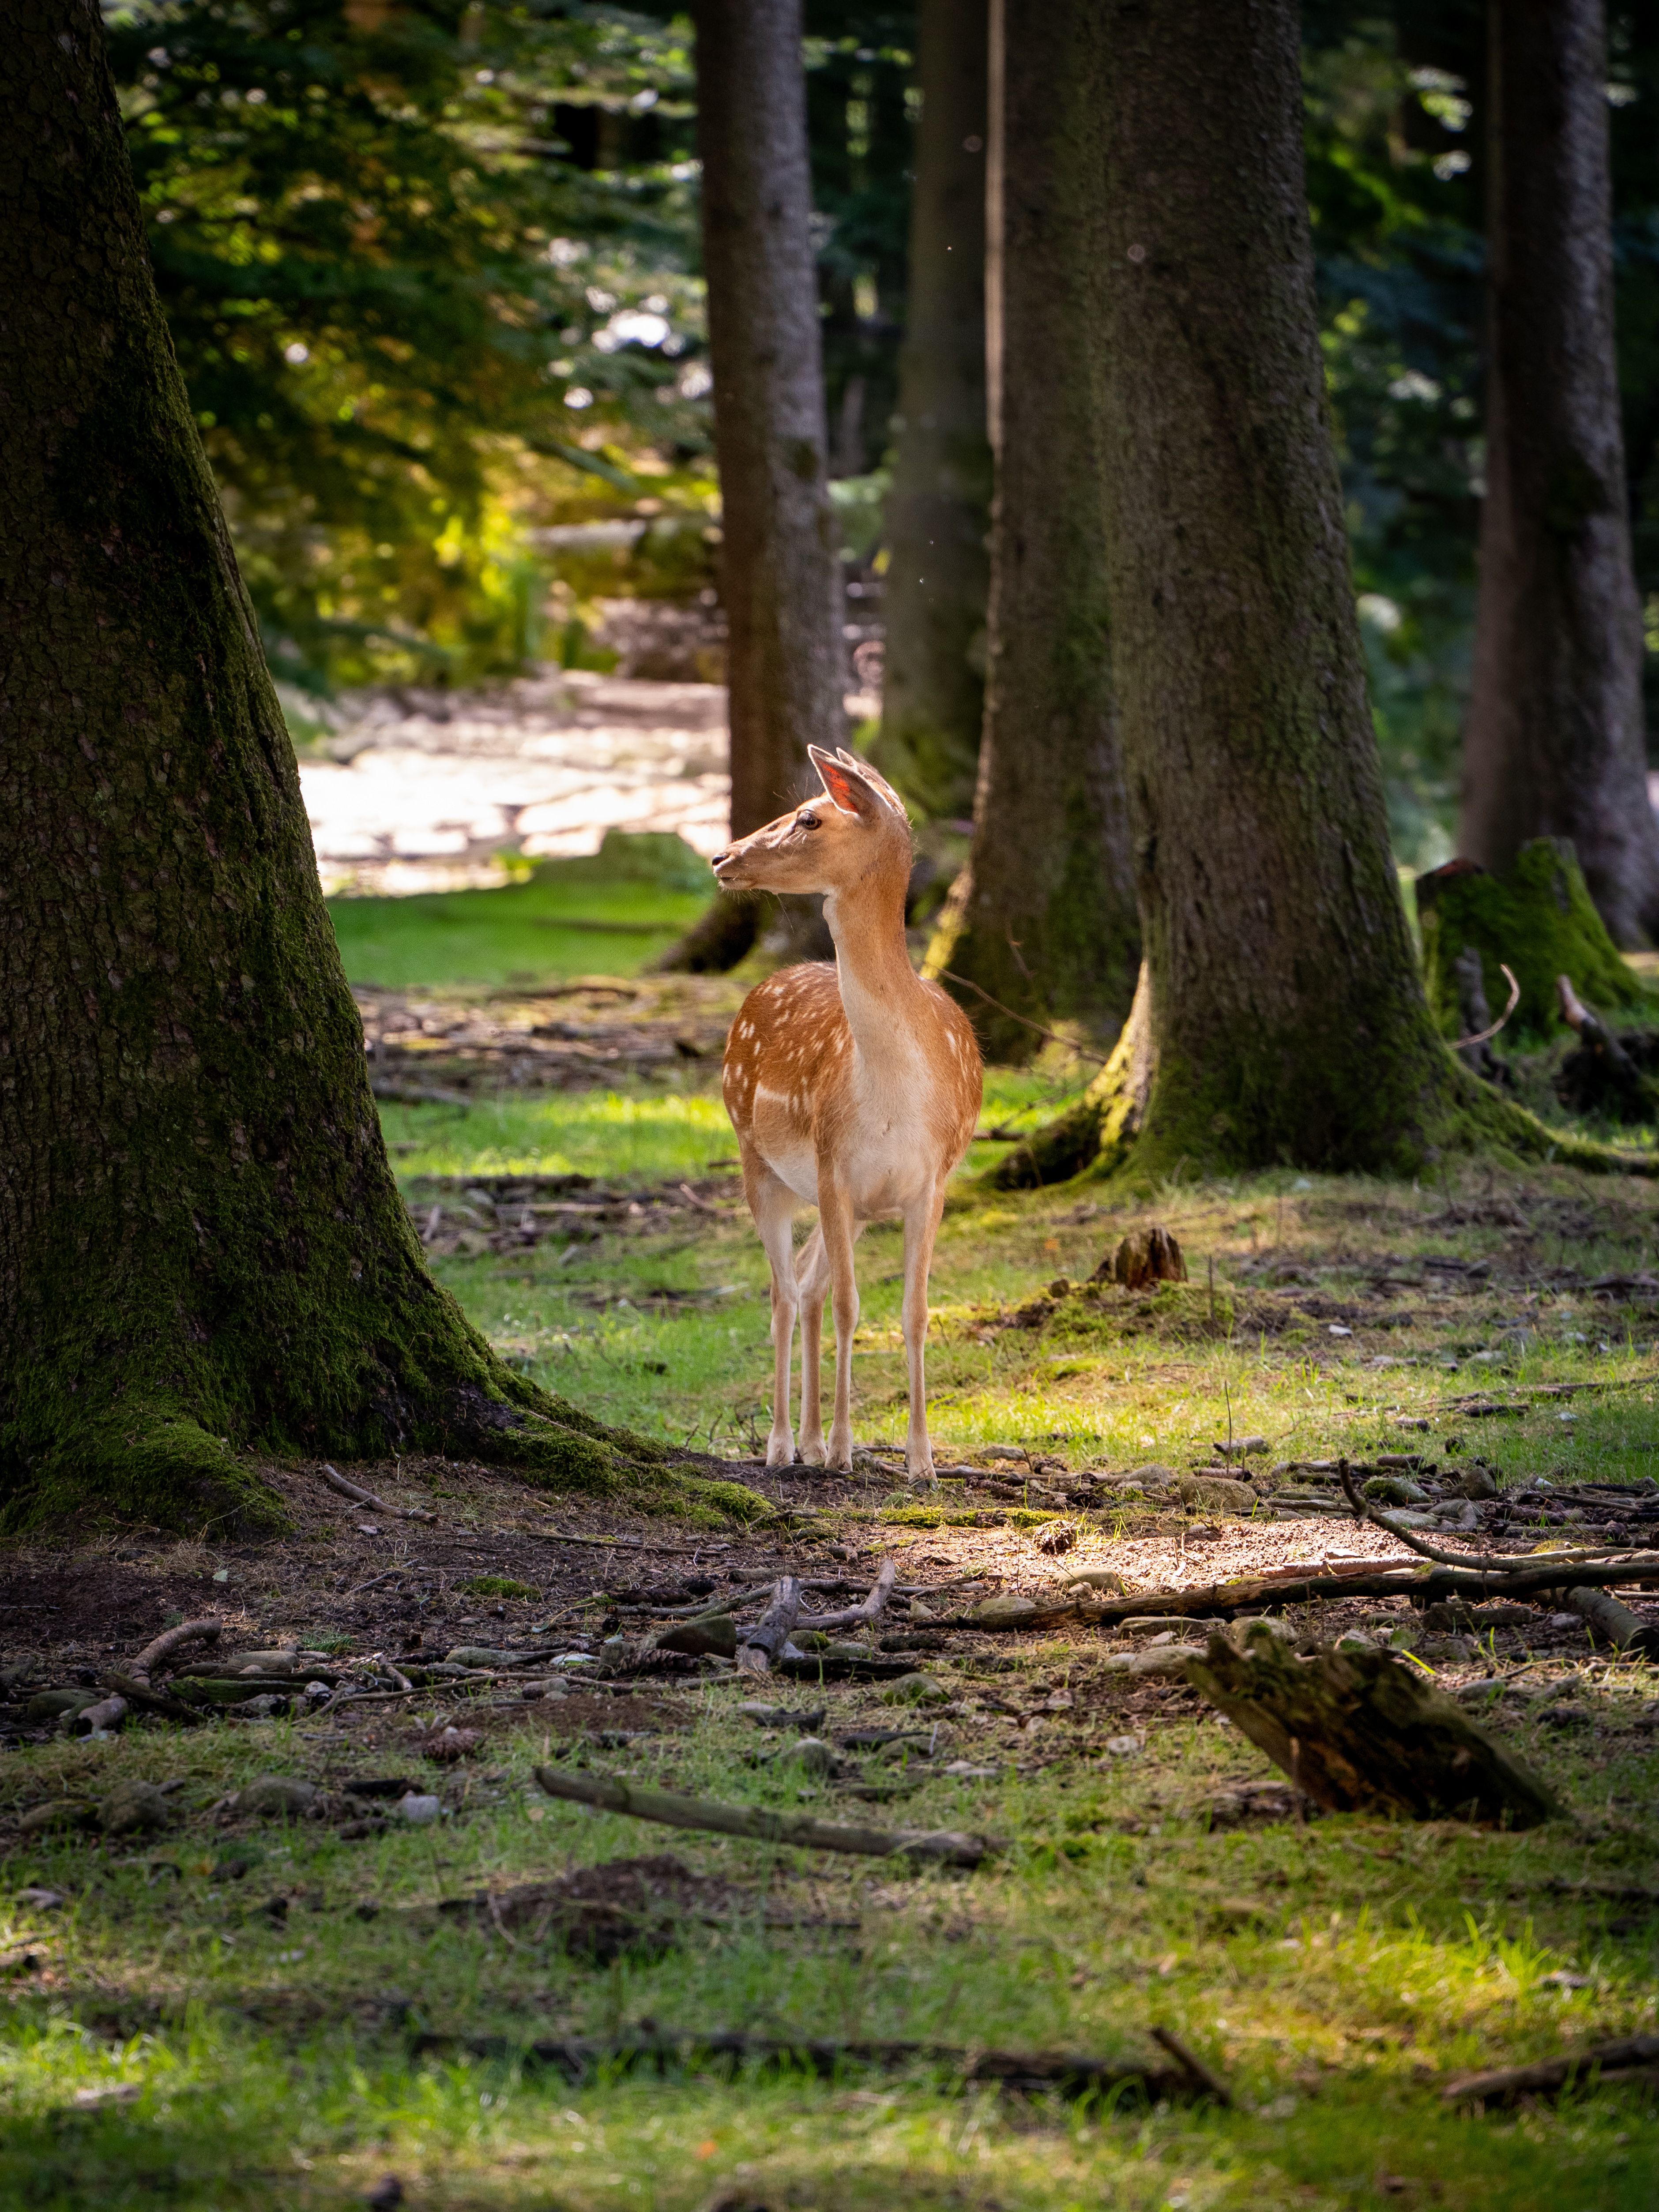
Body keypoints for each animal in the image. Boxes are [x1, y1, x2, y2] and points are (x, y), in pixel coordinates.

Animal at [712, 746, 983, 1484]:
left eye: (809, 816)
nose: (721, 856)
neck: (889, 1089)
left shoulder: (927, 1182)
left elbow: (913, 1311)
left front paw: (921, 1460)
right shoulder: (833, 1162)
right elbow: (848, 1304)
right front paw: (842, 1448)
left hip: (855, 1206)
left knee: (804, 1281)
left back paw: (805, 1439)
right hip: (757, 1159)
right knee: (782, 1292)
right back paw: (784, 1443)